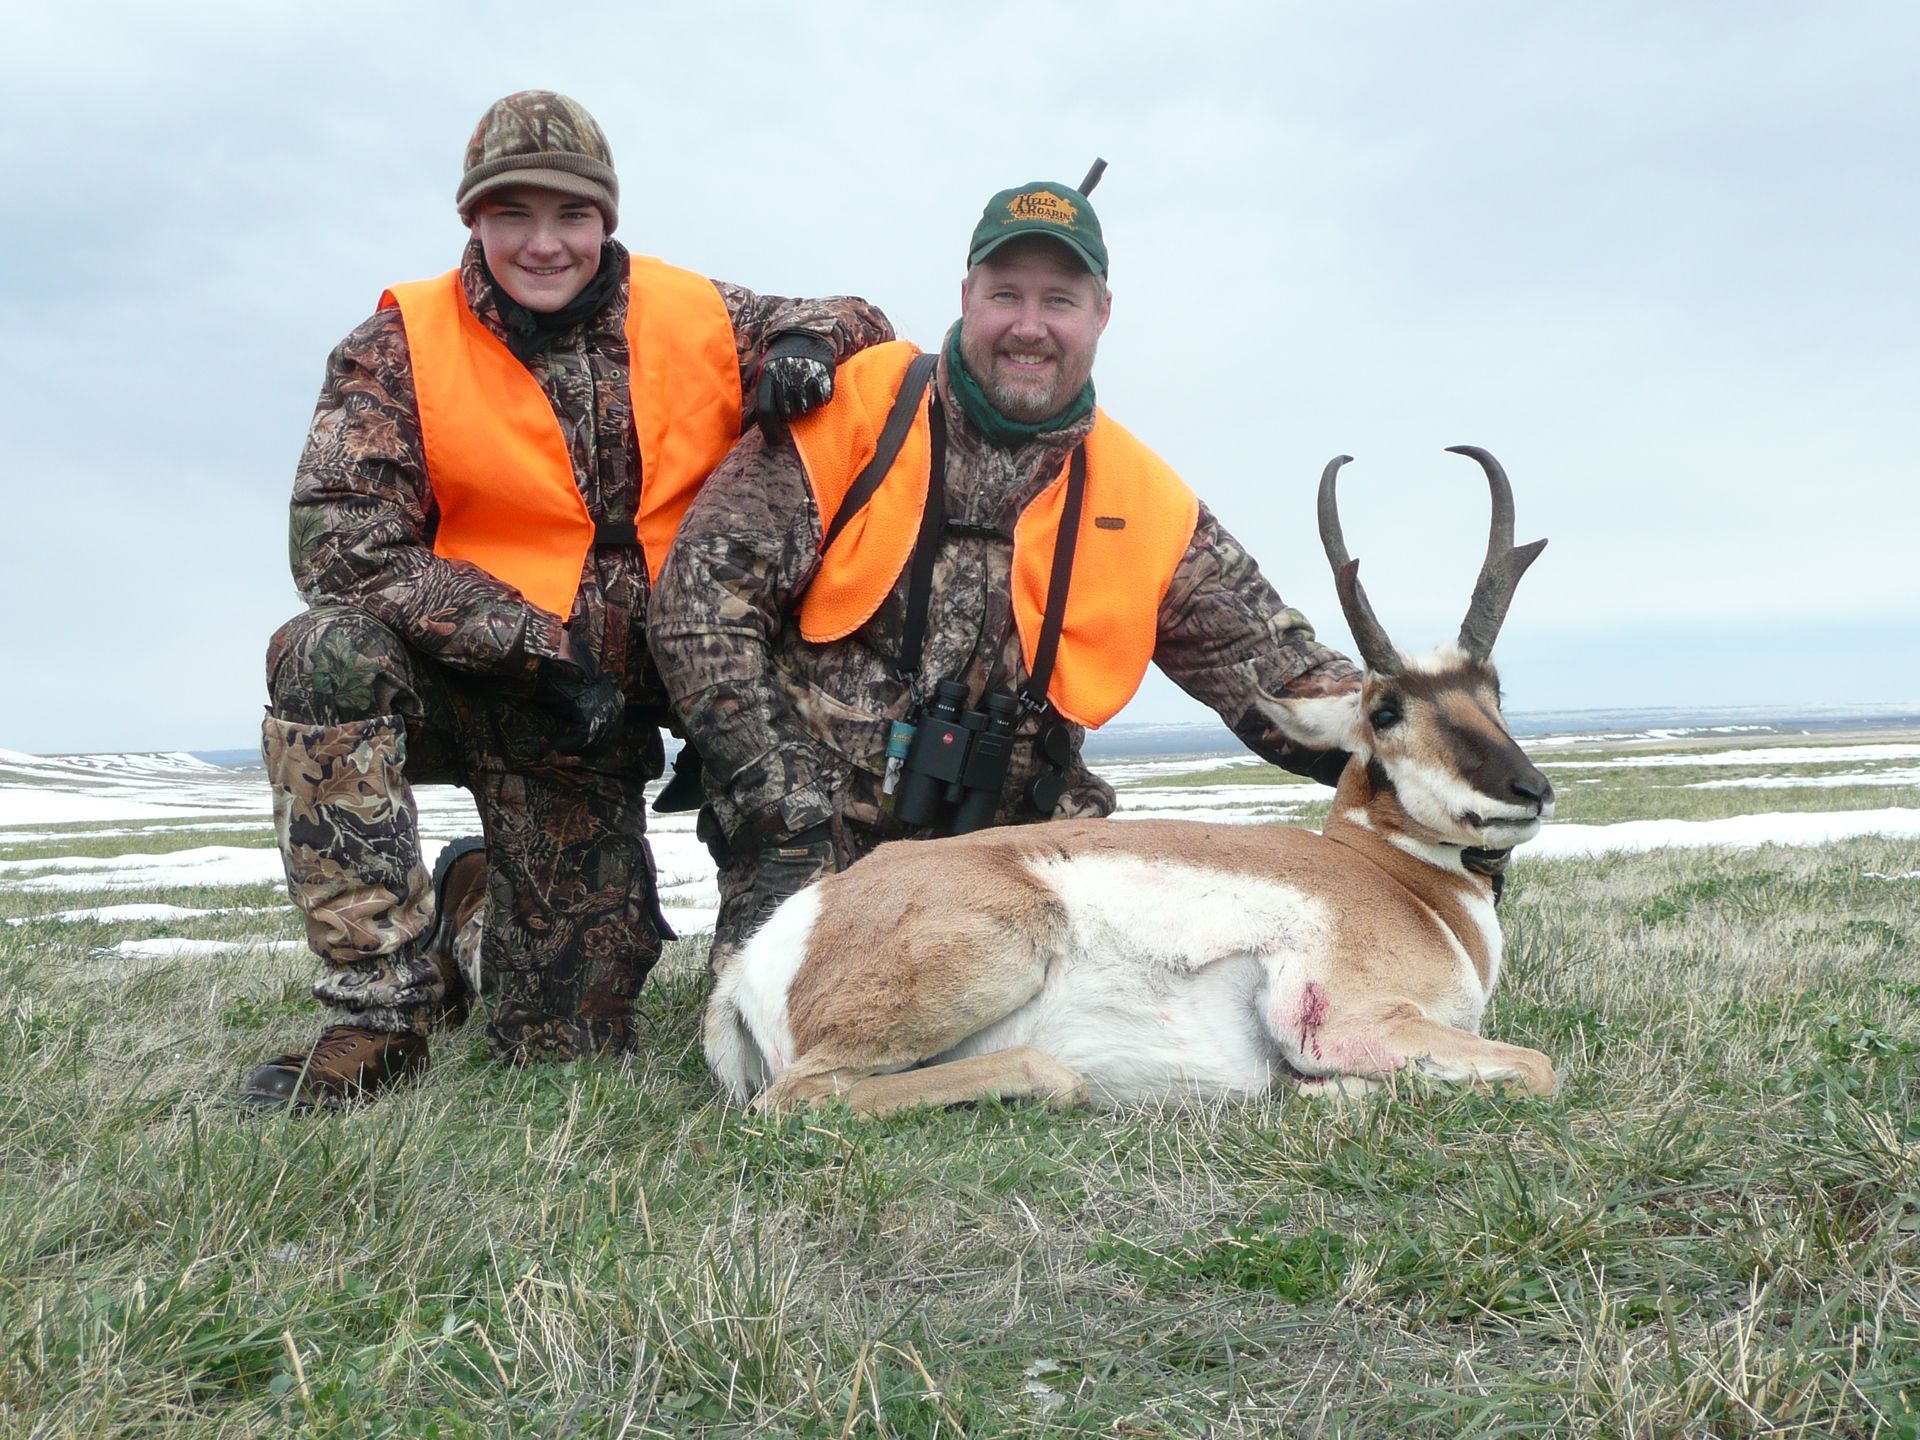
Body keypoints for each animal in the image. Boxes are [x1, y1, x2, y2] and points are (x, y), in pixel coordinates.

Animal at [705, 446, 1558, 1114]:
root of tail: (759, 958)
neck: (1397, 884)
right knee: (802, 1096)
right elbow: (1538, 1066)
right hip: (1002, 949)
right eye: (1384, 710)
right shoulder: (1357, 1020)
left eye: (1495, 691)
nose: (1531, 792)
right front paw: (1325, 1088)